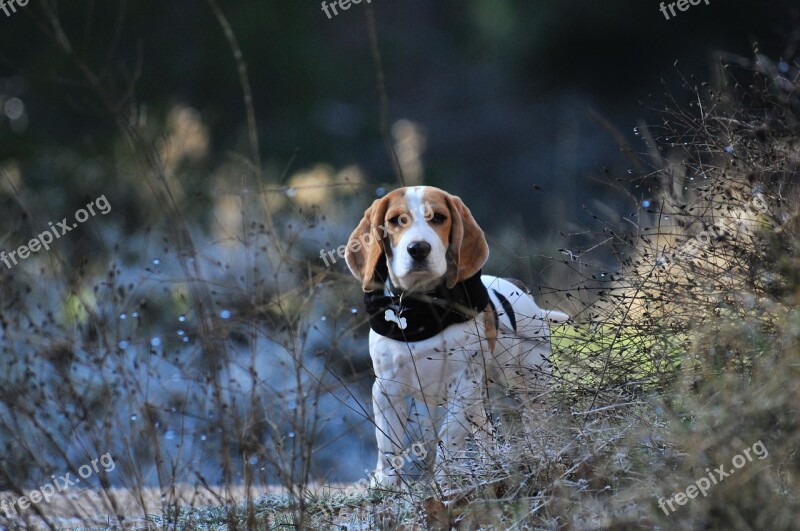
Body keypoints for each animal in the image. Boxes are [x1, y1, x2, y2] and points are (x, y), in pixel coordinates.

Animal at [344, 186, 568, 486]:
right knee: (486, 432)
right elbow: (389, 446)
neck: (422, 310)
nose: (418, 248)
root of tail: (521, 290)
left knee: (537, 421)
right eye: (395, 221)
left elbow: (449, 437)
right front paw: (385, 484)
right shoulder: (387, 389)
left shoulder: (462, 385)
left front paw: (443, 480)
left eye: (438, 218)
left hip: (531, 383)